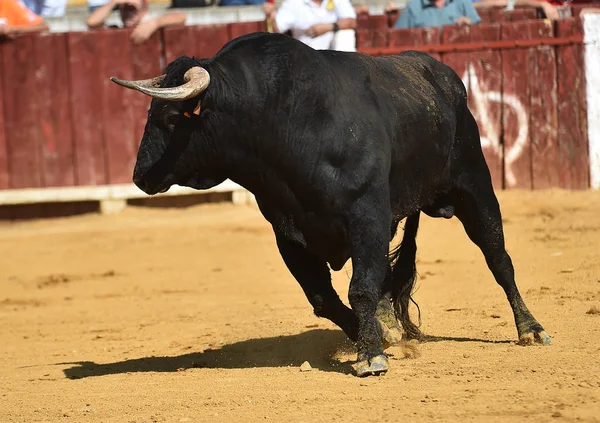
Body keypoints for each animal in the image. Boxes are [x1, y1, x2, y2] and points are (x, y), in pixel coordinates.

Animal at [110, 32, 552, 378]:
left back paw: (531, 329)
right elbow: (326, 298)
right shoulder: (288, 234)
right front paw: (377, 337)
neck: (283, 118)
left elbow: (362, 288)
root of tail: (443, 76)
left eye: (170, 118)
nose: (139, 176)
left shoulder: (367, 218)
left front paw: (371, 354)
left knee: (498, 257)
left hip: (474, 186)